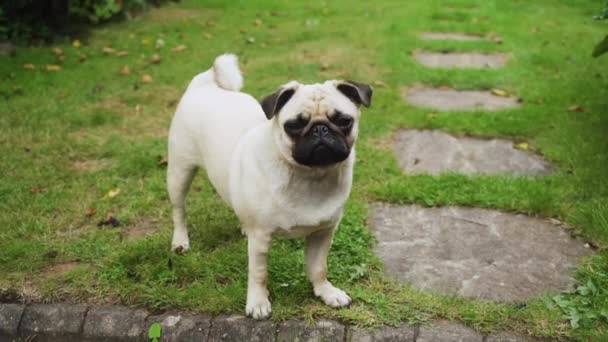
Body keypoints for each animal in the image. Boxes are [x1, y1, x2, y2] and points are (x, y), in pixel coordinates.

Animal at [166, 52, 370, 318]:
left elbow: (318, 267)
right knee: (179, 210)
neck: (310, 177)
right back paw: (180, 242)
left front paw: (326, 292)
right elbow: (258, 274)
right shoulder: (261, 238)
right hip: (179, 173)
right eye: (294, 125)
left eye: (344, 121)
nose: (321, 129)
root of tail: (205, 84)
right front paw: (258, 303)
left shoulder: (323, 232)